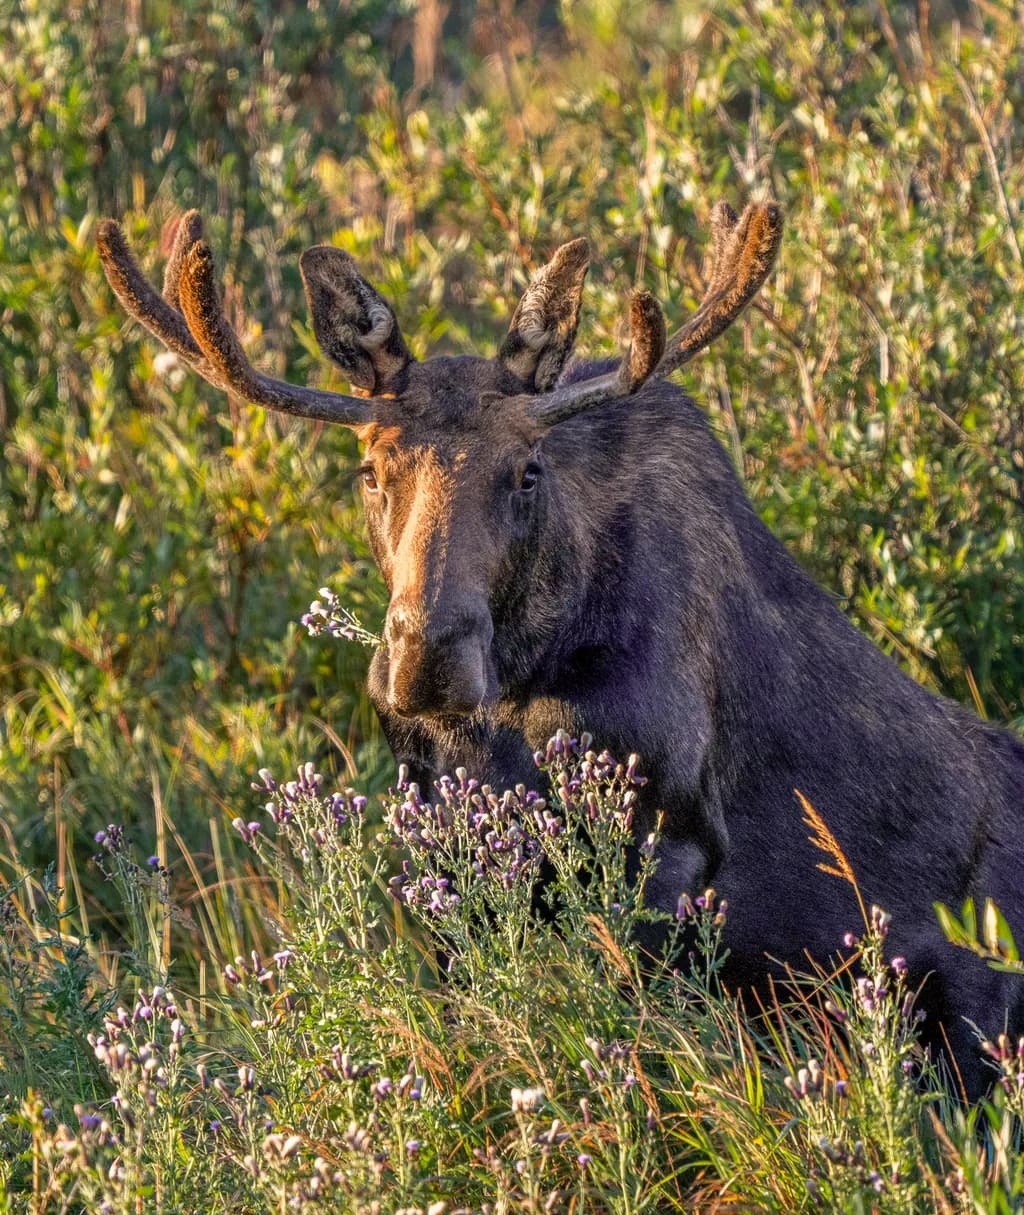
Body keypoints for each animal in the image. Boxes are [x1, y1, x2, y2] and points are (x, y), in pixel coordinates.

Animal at [97, 201, 1024, 1097]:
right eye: (370, 471)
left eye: (527, 471)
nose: (427, 657)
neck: (522, 686)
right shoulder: (443, 845)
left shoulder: (671, 845)